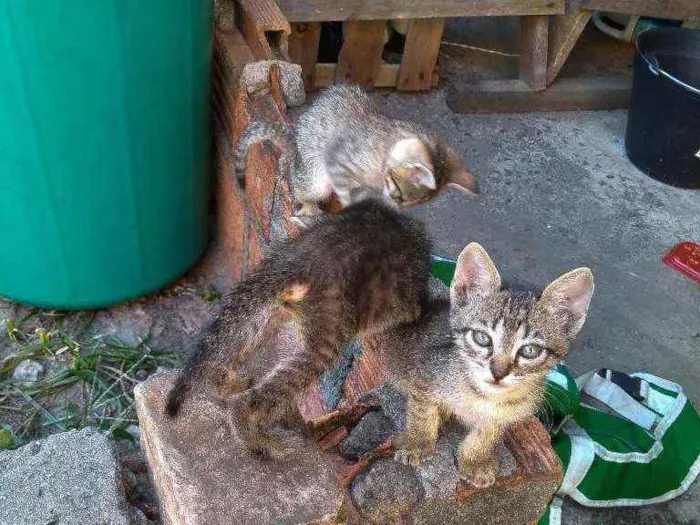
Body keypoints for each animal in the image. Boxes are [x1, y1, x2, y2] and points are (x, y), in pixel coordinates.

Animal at [165, 201, 432, 458]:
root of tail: (297, 256)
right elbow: (411, 309)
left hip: (272, 309)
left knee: (230, 347)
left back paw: (225, 385)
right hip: (328, 331)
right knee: (250, 401)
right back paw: (264, 441)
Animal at [235, 83, 476, 223]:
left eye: (411, 204)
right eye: (399, 192)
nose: (396, 206)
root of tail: (295, 143)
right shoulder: (338, 160)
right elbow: (346, 191)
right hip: (312, 172)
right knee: (300, 181)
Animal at [380, 242, 592, 488]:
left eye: (530, 351)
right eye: (482, 338)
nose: (498, 373)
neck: (482, 396)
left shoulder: (504, 416)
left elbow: (486, 434)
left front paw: (474, 461)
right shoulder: (425, 376)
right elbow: (421, 413)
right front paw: (418, 442)